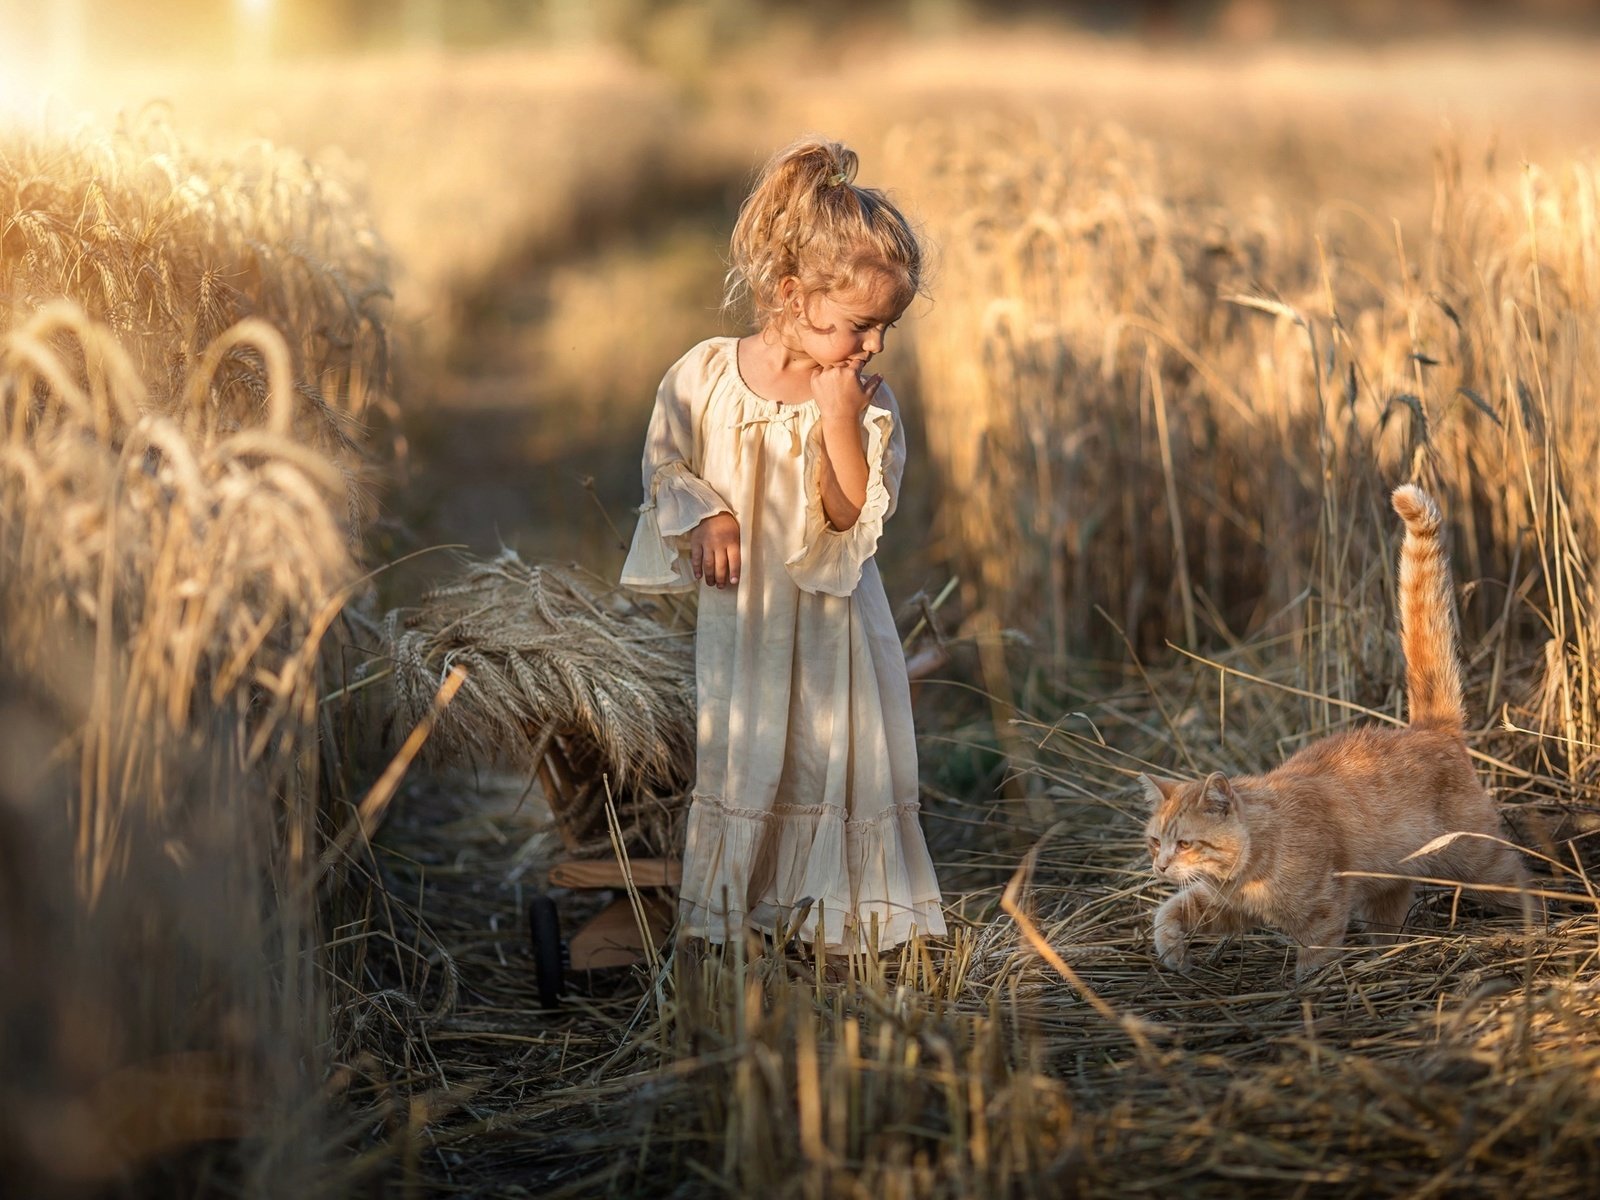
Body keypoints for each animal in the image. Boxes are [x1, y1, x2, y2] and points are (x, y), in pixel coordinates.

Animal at [1139, 483, 1536, 979]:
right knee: (1390, 919)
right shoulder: (1222, 904)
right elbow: (1168, 911)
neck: (1256, 854)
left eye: (1186, 843)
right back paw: (1386, 958)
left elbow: (1314, 964)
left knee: (1520, 882)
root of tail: (1430, 727)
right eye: (1155, 841)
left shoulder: (1323, 914)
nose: (1159, 867)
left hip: (1477, 860)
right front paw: (1172, 951)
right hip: (1388, 886)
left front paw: (1305, 990)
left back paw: (1538, 927)